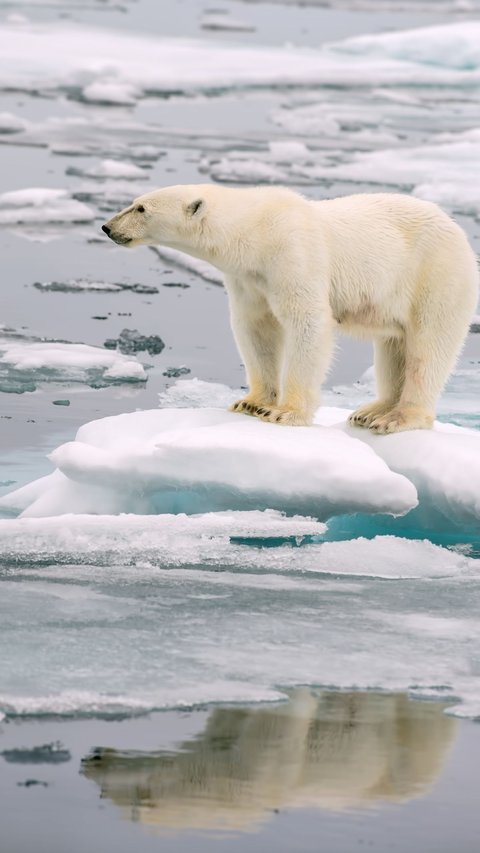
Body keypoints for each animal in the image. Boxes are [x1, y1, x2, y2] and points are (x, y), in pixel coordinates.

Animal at [103, 190, 478, 436]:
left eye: (141, 208)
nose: (107, 227)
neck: (256, 230)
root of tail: (458, 231)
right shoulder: (249, 278)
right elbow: (255, 327)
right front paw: (251, 403)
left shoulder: (293, 254)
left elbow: (307, 323)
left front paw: (285, 413)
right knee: (393, 347)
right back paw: (371, 411)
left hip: (435, 275)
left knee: (427, 347)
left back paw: (397, 418)